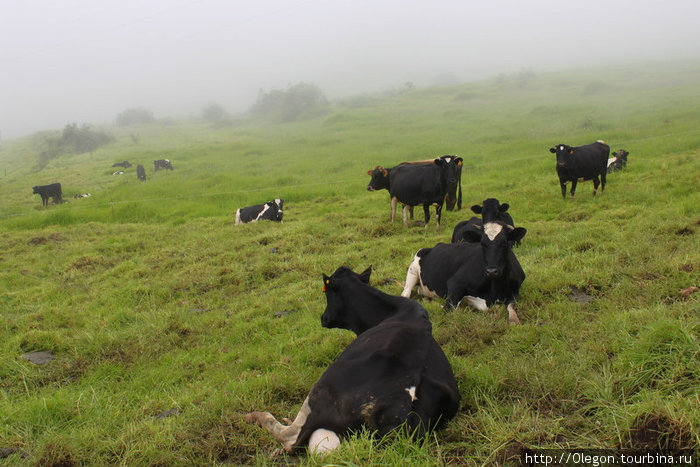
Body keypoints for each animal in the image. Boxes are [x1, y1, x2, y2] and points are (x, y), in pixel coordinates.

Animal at [245, 266, 460, 458]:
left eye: (325, 292)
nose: (323, 318)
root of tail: (403, 410)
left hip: (324, 387)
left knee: (291, 438)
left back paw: (256, 416)